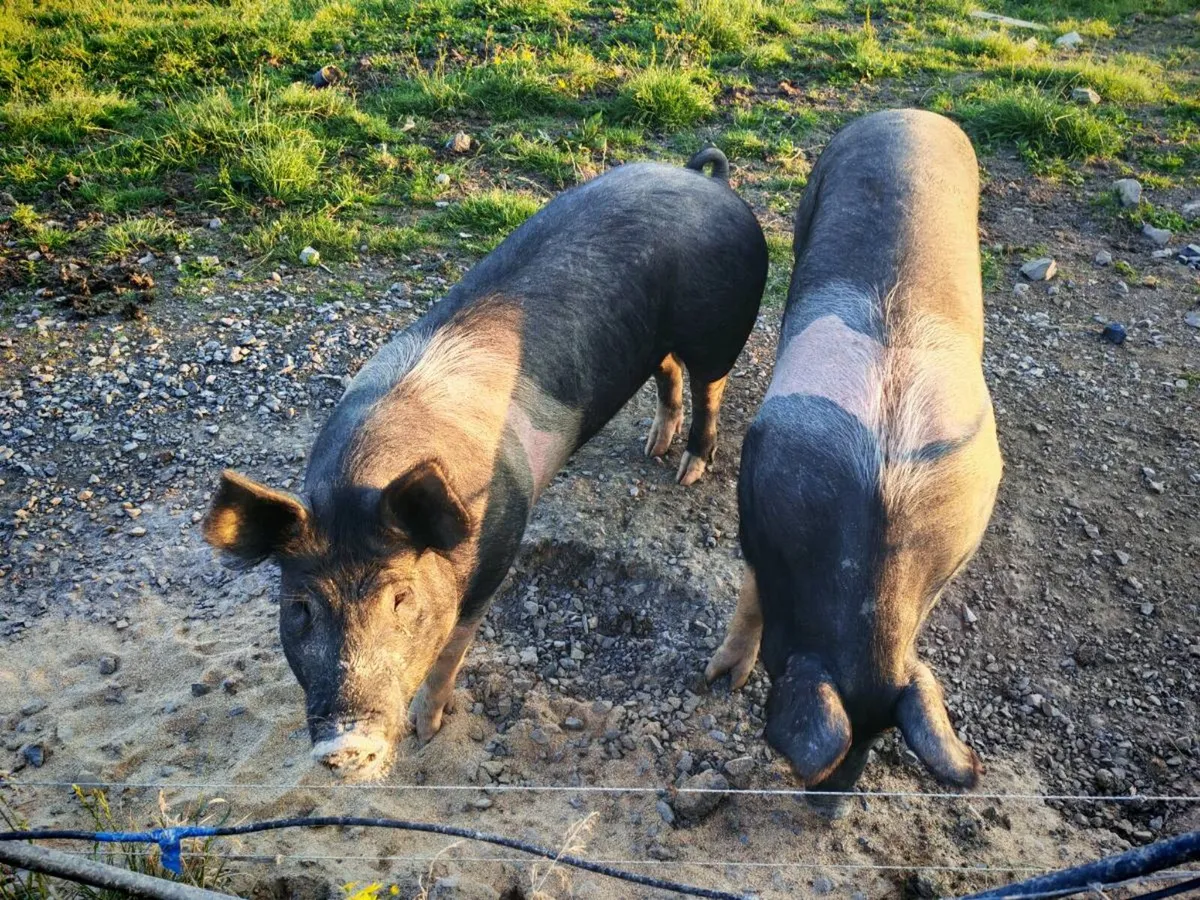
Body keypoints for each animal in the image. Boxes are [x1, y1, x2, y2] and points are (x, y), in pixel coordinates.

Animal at [203, 148, 767, 780]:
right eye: (300, 607)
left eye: (402, 599)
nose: (346, 744)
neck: (361, 481)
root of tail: (706, 178)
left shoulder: (497, 551)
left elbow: (451, 650)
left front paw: (426, 729)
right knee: (668, 369)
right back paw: (654, 448)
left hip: (720, 329)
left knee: (709, 387)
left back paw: (687, 469)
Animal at [705, 109, 1002, 804]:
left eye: (881, 736)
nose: (830, 807)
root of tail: (910, 115)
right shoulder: (755, 506)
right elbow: (751, 591)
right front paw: (720, 679)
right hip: (815, 191)